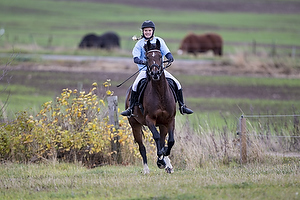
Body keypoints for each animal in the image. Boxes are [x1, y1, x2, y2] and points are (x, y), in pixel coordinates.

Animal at [123, 38, 176, 173]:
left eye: (160, 56)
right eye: (147, 57)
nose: (155, 73)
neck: (160, 94)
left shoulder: (170, 120)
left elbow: (170, 141)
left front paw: (164, 157)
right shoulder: (149, 119)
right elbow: (156, 138)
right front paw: (160, 160)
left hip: (162, 124)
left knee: (163, 139)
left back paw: (168, 165)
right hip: (135, 125)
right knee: (142, 146)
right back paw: (147, 169)